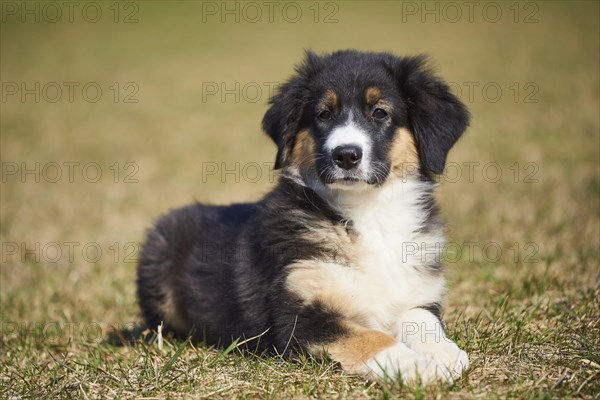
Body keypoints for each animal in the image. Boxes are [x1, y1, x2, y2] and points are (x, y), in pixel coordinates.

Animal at [138, 50, 472, 384]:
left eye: (380, 113)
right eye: (323, 114)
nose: (346, 155)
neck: (366, 214)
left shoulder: (416, 290)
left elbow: (422, 319)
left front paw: (446, 353)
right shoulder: (298, 315)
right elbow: (371, 338)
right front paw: (419, 367)